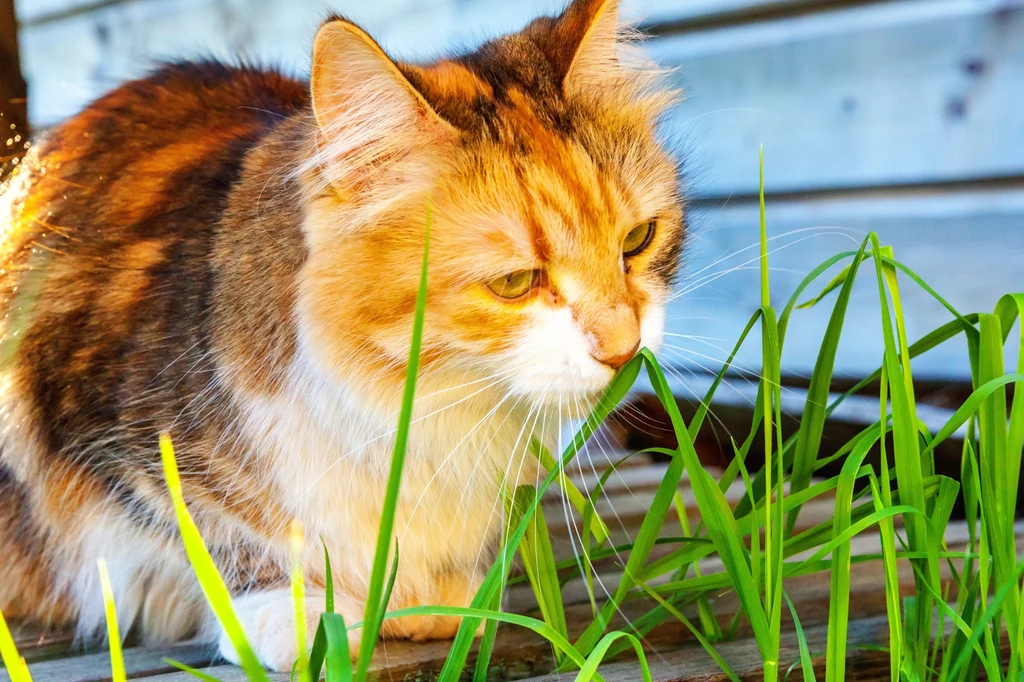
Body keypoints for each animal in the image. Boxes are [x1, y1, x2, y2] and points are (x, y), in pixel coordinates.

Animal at [2, 0, 688, 667]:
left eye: (637, 240)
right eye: (515, 282)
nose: (623, 348)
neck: (430, 411)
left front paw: (435, 597)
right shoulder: (101, 439)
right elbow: (213, 528)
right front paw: (296, 611)